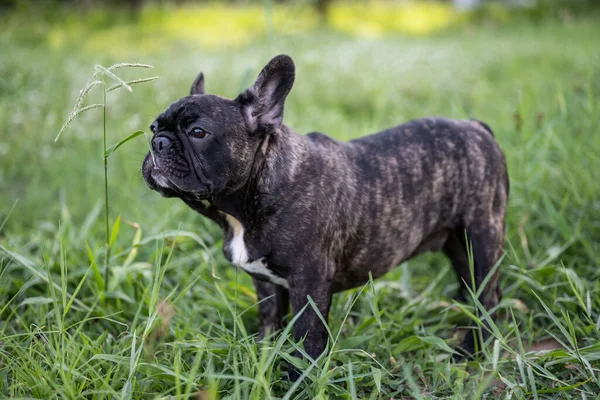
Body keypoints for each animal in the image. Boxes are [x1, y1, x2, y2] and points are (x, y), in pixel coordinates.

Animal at [143, 54, 508, 372]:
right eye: (153, 128)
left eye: (198, 133)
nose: (158, 143)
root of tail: (476, 127)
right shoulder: (265, 283)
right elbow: (270, 322)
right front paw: (262, 358)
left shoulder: (310, 283)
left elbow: (308, 337)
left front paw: (297, 377)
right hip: (458, 243)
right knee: (476, 287)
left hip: (482, 233)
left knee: (488, 297)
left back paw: (471, 351)